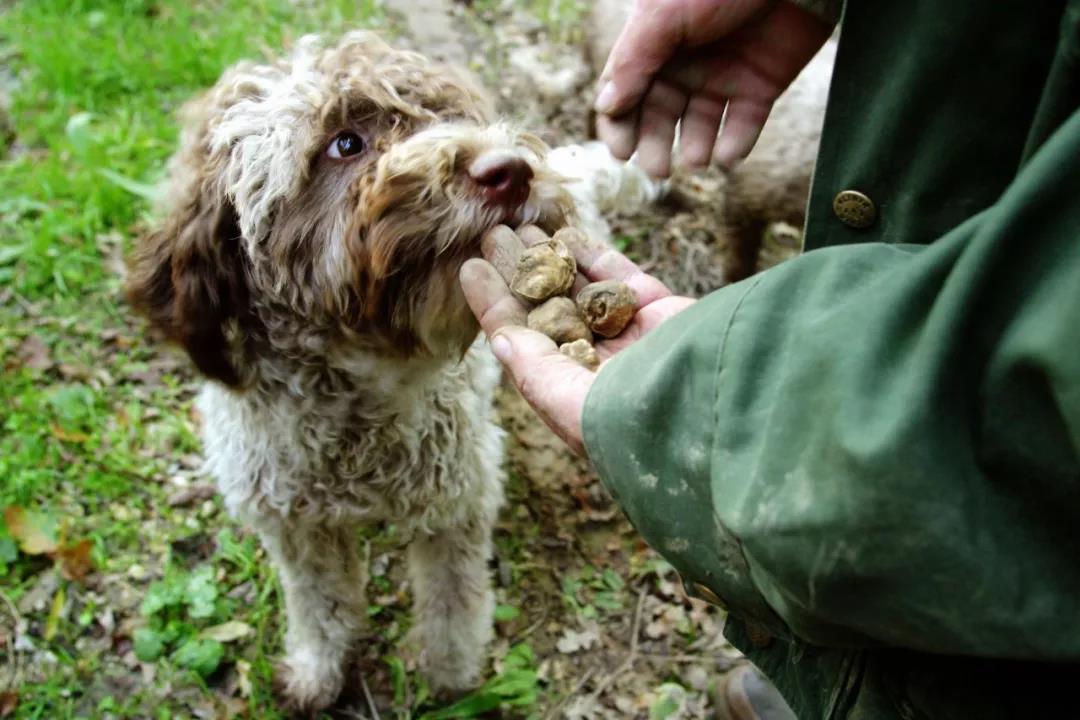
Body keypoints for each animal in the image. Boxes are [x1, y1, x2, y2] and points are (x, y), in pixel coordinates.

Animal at [124, 31, 648, 712]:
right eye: (344, 143)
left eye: (450, 115)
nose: (510, 169)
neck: (354, 404)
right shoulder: (294, 527)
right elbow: (319, 607)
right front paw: (319, 673)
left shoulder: (455, 505)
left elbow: (452, 606)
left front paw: (451, 680)